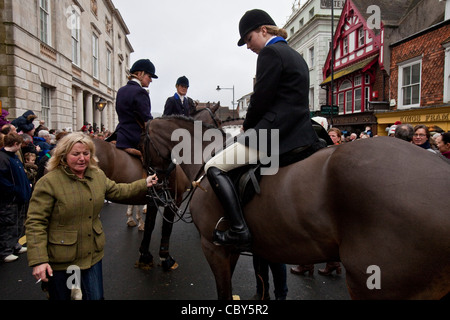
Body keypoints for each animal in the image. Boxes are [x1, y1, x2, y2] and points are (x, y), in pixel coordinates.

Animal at [94, 104, 221, 268]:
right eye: (218, 120)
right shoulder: (173, 199)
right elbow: (166, 226)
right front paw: (165, 257)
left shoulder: (154, 197)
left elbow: (150, 224)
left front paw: (144, 254)